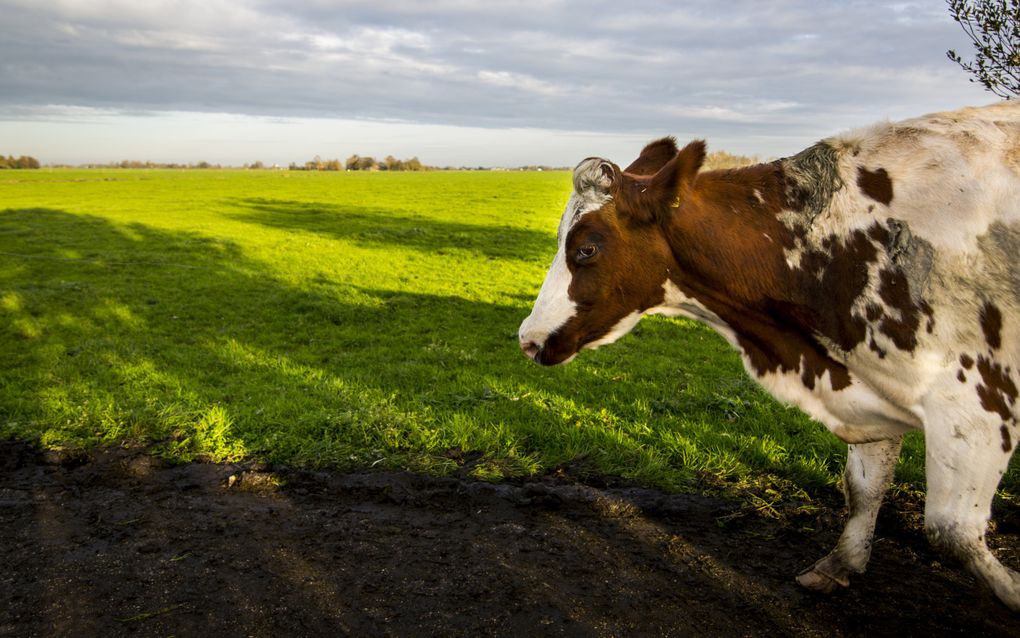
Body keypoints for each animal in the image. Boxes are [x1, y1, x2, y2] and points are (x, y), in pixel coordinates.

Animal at [518, 103, 1020, 608]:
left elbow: (951, 531)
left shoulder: (974, 407)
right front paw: (841, 563)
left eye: (586, 248)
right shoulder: (870, 383)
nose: (527, 338)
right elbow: (863, 488)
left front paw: (1012, 591)